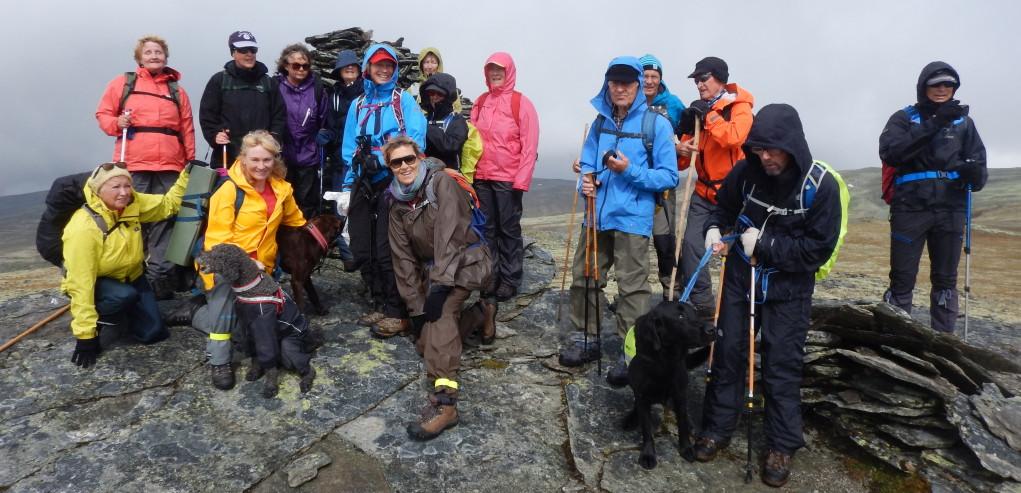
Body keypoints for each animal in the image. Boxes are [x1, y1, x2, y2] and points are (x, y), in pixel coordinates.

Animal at [193, 244, 314, 400]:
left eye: (218, 255)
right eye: (213, 248)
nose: (198, 255)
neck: (250, 286)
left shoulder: (264, 327)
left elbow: (268, 359)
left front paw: (270, 387)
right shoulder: (248, 327)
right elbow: (255, 355)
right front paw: (256, 371)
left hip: (290, 347)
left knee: (306, 365)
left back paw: (306, 382)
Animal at [616, 300, 714, 471]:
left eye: (695, 313)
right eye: (680, 316)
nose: (713, 329)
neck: (664, 362)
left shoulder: (680, 394)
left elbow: (682, 423)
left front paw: (686, 448)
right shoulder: (643, 397)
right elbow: (647, 429)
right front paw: (648, 454)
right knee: (636, 405)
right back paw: (631, 418)